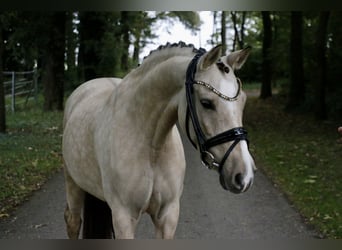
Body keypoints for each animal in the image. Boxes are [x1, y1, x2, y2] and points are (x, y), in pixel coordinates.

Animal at [62, 42, 256, 239]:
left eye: (243, 101)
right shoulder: (124, 217)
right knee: (73, 221)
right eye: (206, 103)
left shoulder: (167, 215)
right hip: (73, 183)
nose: (244, 176)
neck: (151, 147)